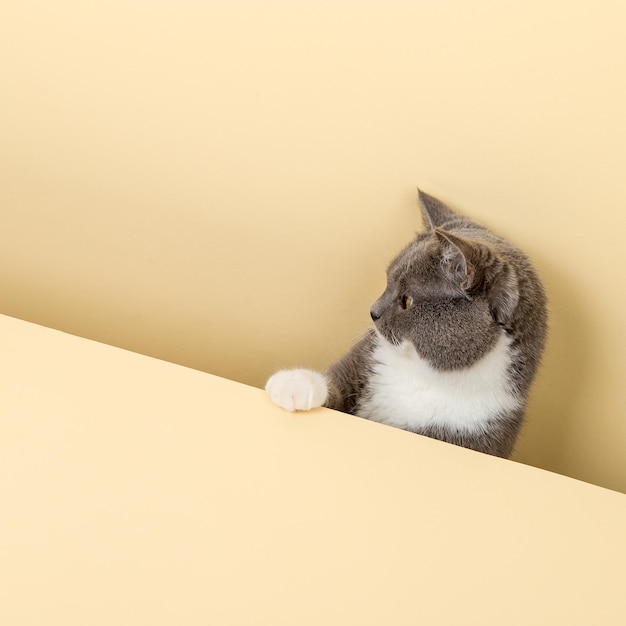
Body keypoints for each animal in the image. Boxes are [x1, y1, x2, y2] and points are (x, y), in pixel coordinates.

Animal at [264, 188, 544, 456]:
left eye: (406, 300)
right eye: (387, 281)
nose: (373, 311)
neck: (421, 374)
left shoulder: (478, 428)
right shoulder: (366, 355)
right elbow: (338, 382)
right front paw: (294, 384)